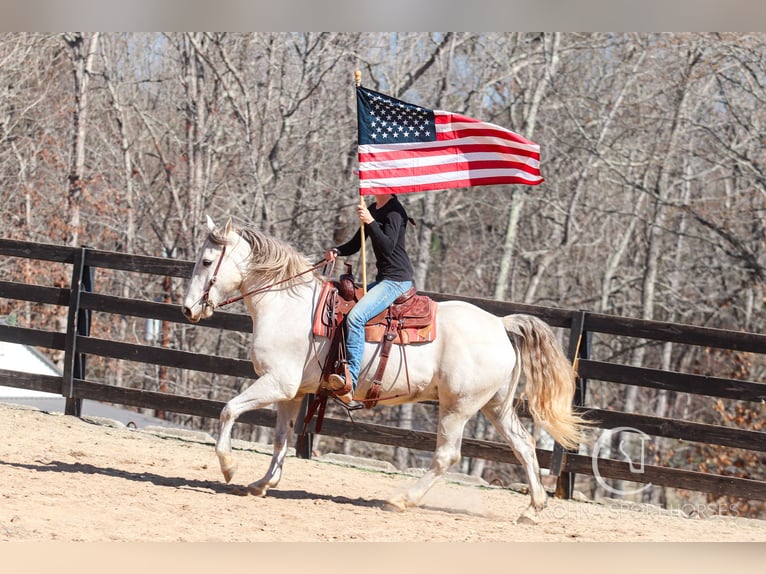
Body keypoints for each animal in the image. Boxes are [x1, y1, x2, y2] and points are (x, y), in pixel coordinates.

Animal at [182, 215, 588, 520]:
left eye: (206, 262)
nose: (188, 309)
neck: (288, 306)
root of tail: (501, 324)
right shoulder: (292, 393)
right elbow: (282, 438)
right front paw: (263, 483)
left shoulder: (275, 383)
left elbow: (228, 410)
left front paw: (228, 466)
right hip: (495, 406)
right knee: (524, 445)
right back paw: (532, 509)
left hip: (457, 407)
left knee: (448, 455)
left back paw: (401, 499)